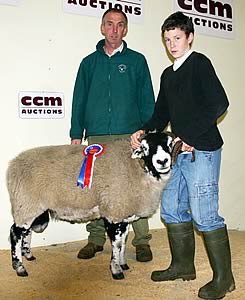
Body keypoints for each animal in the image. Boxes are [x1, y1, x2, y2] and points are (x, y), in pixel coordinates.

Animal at [6, 132, 175, 280]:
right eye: (145, 147)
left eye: (169, 144)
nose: (162, 161)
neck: (136, 168)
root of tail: (14, 164)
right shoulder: (113, 212)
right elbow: (116, 244)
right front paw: (116, 270)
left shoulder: (123, 215)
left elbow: (123, 242)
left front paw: (123, 264)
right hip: (26, 203)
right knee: (15, 233)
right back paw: (20, 268)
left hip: (30, 206)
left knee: (26, 232)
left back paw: (28, 255)